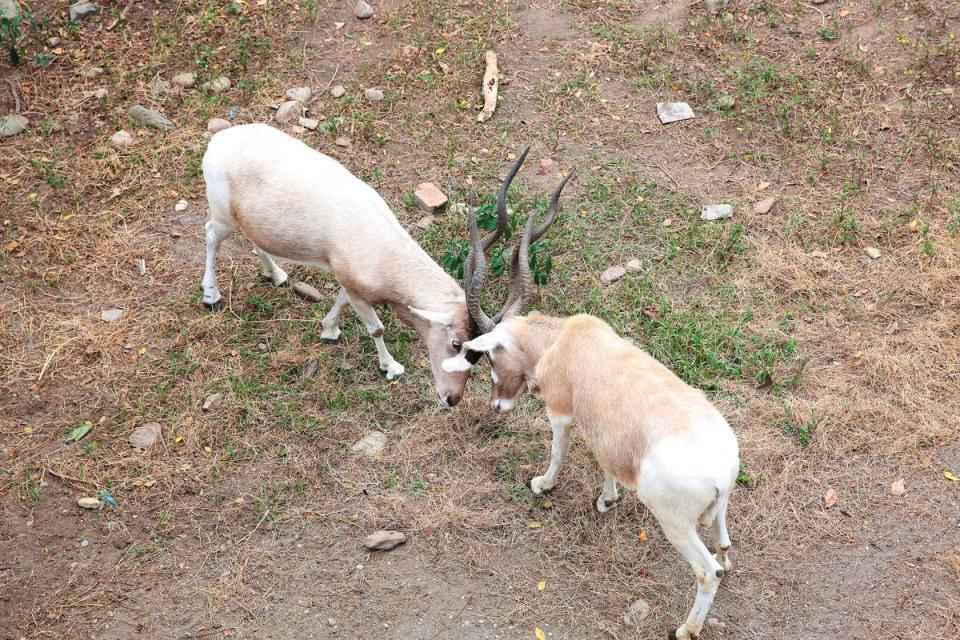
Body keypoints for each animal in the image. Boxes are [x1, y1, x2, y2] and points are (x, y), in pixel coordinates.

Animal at [197, 124, 568, 404]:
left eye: (479, 355)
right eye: (456, 344)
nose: (451, 399)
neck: (382, 242)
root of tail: (220, 141)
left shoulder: (349, 281)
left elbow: (341, 301)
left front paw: (328, 330)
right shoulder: (358, 287)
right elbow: (376, 328)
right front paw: (390, 367)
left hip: (250, 222)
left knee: (253, 241)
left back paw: (275, 274)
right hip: (223, 216)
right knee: (211, 234)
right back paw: (211, 295)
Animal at [444, 209, 744, 636]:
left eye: (488, 357)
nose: (497, 406)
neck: (561, 341)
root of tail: (721, 471)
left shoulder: (560, 414)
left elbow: (558, 452)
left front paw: (542, 484)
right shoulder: (605, 434)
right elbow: (605, 461)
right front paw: (607, 499)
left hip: (675, 523)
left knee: (708, 572)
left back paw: (685, 629)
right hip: (719, 510)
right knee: (724, 547)